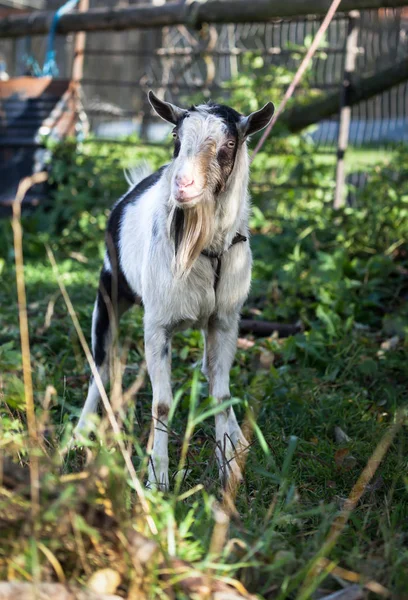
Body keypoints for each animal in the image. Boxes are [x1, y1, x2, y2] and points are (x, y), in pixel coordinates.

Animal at [74, 91, 274, 490]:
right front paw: (157, 479)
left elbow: (221, 392)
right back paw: (79, 434)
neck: (207, 249)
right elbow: (162, 402)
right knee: (100, 364)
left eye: (230, 143)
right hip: (108, 292)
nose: (182, 185)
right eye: (176, 137)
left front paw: (229, 467)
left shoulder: (225, 320)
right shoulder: (157, 325)